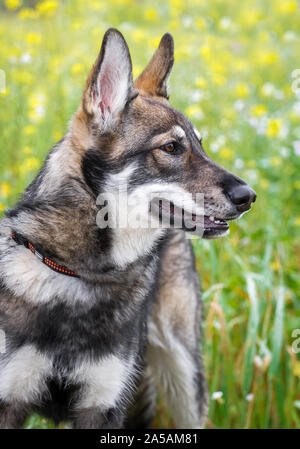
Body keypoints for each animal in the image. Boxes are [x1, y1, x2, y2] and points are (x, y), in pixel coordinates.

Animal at [0, 28, 255, 428]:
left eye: (200, 145)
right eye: (171, 147)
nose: (249, 196)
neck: (80, 275)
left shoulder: (103, 408)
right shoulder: (10, 402)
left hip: (185, 378)